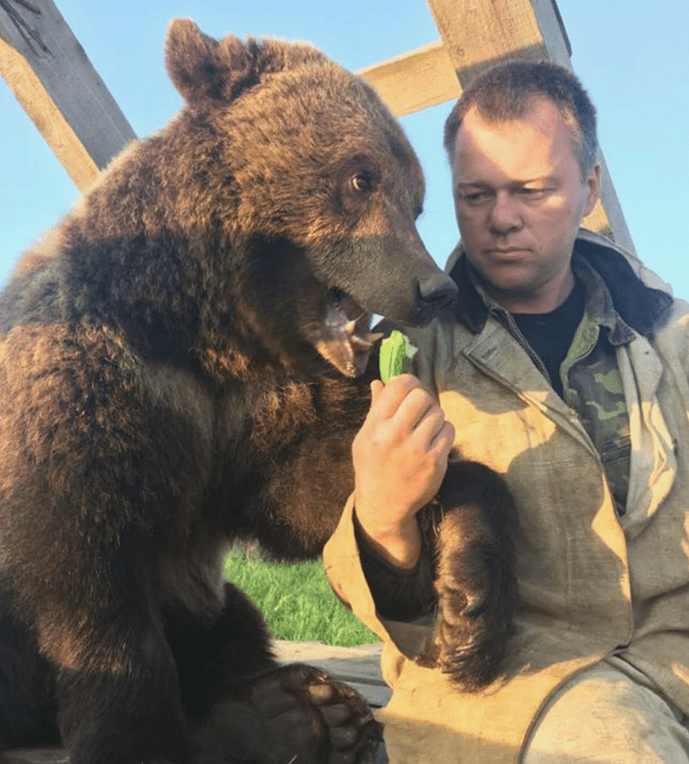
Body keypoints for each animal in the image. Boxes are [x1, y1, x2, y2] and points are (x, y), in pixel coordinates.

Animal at [0, 16, 468, 764]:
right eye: (359, 176)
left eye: (415, 200)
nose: (434, 288)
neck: (199, 333)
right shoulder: (92, 384)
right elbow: (88, 580)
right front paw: (136, 735)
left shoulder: (248, 415)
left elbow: (296, 494)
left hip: (205, 601)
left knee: (237, 626)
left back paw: (305, 709)